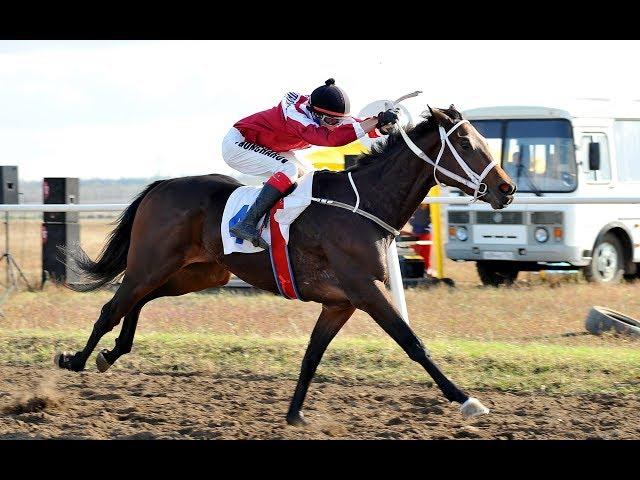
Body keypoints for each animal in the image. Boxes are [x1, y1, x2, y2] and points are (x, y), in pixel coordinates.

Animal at [53, 104, 516, 424]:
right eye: (467, 145)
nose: (506, 189)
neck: (363, 204)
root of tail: (161, 185)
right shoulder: (365, 290)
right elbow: (412, 342)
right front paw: (468, 400)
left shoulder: (340, 303)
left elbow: (312, 355)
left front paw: (295, 414)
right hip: (152, 263)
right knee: (113, 306)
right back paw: (76, 360)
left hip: (199, 271)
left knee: (140, 300)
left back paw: (112, 353)